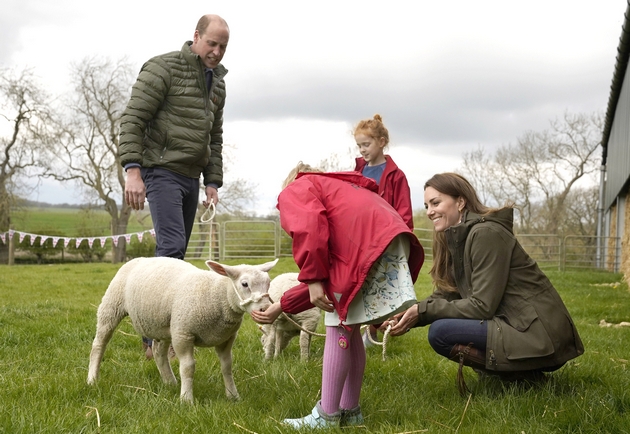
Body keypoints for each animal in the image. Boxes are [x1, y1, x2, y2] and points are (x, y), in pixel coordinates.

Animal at [86, 258, 276, 404]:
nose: (266, 309)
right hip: (111, 306)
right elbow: (188, 367)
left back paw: (170, 382)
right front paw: (186, 400)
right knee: (99, 344)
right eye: (245, 284)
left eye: (268, 283)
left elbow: (227, 366)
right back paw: (92, 379)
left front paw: (233, 396)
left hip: (164, 324)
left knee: (158, 351)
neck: (216, 295)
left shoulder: (226, 338)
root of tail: (139, 259)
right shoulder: (183, 334)